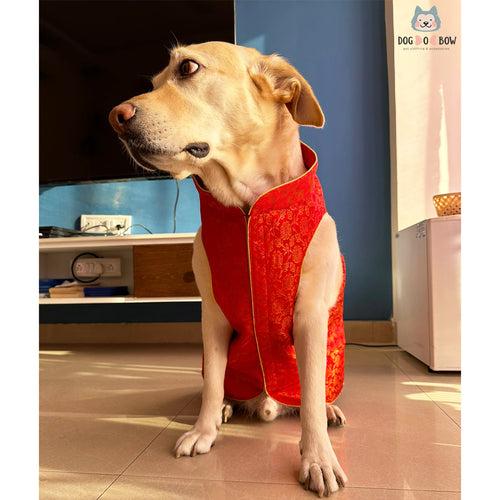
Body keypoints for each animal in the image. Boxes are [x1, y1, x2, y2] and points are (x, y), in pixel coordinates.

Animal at [110, 41, 348, 494]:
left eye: (188, 67)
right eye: (156, 81)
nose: (115, 116)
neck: (247, 205)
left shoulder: (310, 317)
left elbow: (309, 397)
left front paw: (318, 458)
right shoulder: (214, 315)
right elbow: (212, 381)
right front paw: (204, 429)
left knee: (311, 397)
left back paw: (329, 410)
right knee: (218, 383)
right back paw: (225, 407)